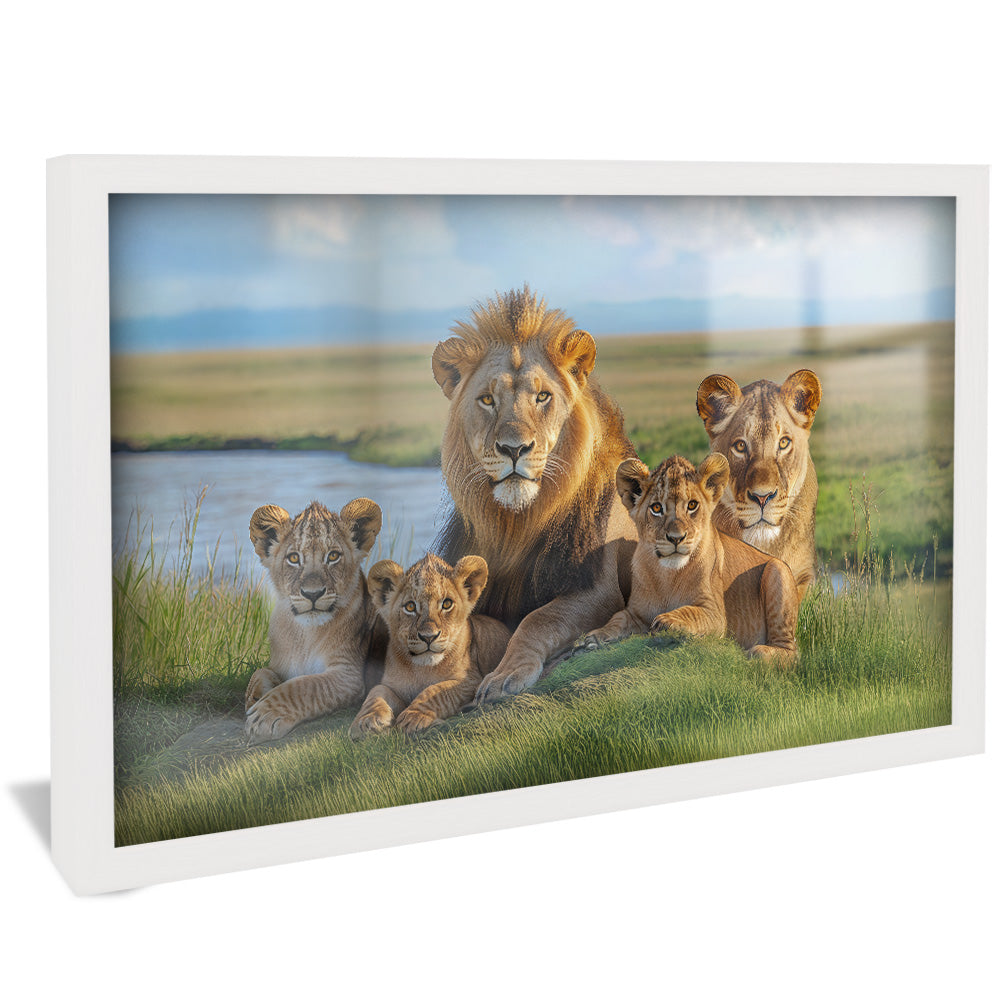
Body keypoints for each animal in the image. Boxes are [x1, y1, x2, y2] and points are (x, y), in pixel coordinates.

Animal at [244, 498, 386, 744]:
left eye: (333, 556)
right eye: (293, 558)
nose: (313, 594)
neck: (305, 635)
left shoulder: (349, 675)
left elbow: (305, 686)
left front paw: (263, 715)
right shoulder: (279, 665)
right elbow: (260, 672)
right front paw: (254, 696)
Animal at [349, 553, 512, 737]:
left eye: (447, 604)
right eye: (410, 606)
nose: (429, 637)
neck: (423, 670)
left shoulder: (471, 681)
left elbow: (437, 691)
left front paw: (414, 716)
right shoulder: (392, 685)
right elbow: (376, 692)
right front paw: (366, 721)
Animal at [431, 286, 638, 703]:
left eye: (542, 397)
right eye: (487, 399)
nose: (514, 449)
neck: (518, 524)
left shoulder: (598, 588)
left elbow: (539, 618)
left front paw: (505, 674)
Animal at [577, 454, 798, 666]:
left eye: (692, 505)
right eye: (656, 508)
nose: (676, 538)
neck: (668, 576)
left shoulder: (715, 614)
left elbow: (690, 612)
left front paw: (666, 621)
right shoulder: (636, 612)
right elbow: (618, 619)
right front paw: (595, 637)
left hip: (778, 570)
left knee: (791, 652)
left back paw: (759, 652)